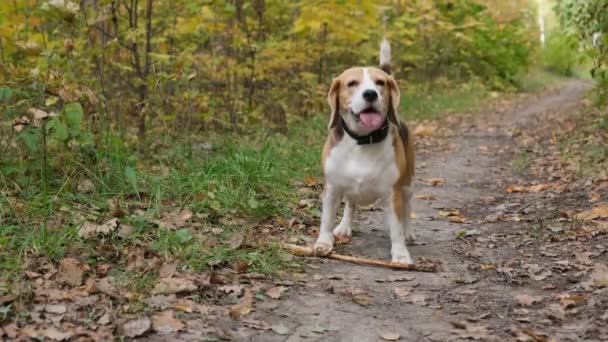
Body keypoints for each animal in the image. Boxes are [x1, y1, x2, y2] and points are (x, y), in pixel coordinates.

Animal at [312, 40, 416, 264]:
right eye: (352, 83)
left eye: (380, 83)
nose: (370, 94)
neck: (362, 141)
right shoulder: (332, 188)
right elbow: (326, 220)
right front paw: (323, 243)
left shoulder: (392, 193)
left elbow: (396, 227)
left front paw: (401, 254)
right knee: (351, 204)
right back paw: (344, 227)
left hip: (407, 185)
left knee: (407, 210)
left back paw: (409, 232)